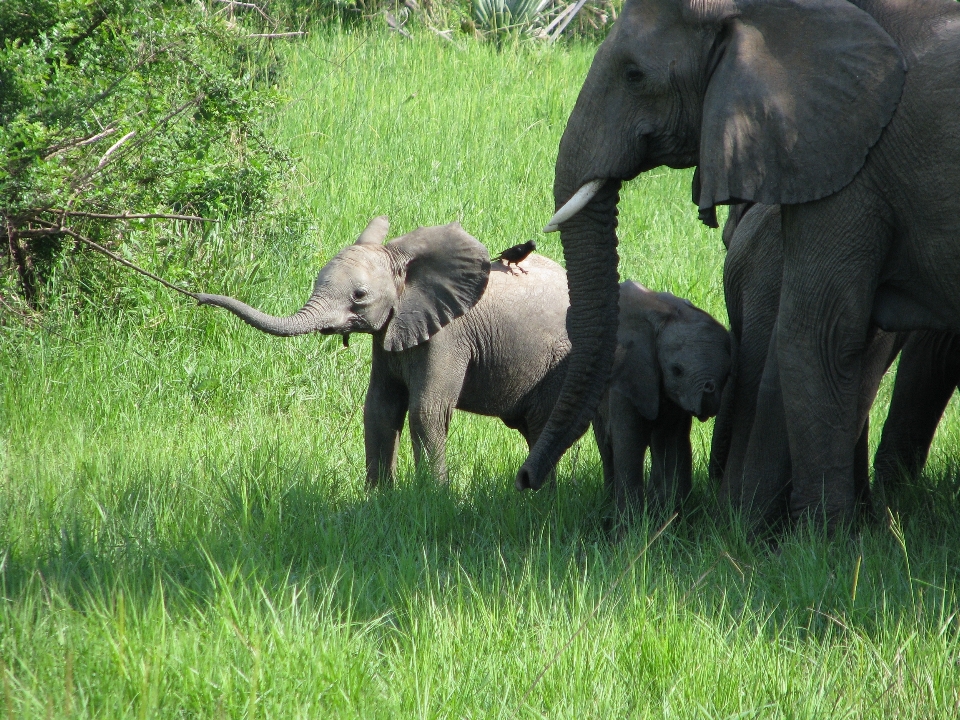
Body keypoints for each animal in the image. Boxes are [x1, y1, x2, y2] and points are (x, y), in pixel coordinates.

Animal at [197, 214, 568, 484]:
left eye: (359, 295)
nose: (198, 297)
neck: (404, 265)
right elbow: (379, 408)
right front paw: (378, 499)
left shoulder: (449, 335)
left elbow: (426, 412)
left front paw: (434, 497)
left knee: (542, 424)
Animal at [588, 282, 732, 524]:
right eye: (676, 370)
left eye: (726, 374)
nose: (709, 390)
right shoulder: (627, 377)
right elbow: (629, 444)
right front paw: (631, 529)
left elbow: (671, 447)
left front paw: (667, 523)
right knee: (607, 447)